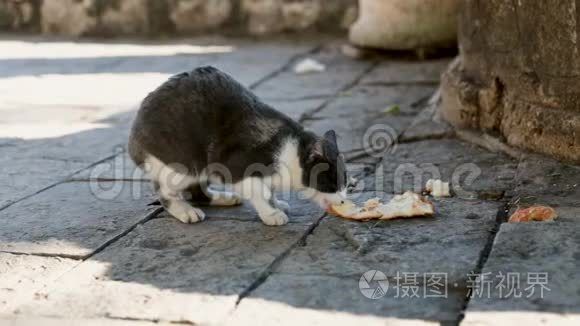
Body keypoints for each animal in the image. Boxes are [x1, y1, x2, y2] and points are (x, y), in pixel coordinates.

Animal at [129, 65, 346, 225]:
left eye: (346, 183)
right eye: (330, 183)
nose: (343, 200)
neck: (289, 151)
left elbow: (270, 190)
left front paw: (276, 204)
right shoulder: (238, 166)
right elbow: (259, 192)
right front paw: (271, 214)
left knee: (198, 191)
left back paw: (223, 198)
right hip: (184, 162)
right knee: (166, 190)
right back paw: (184, 210)